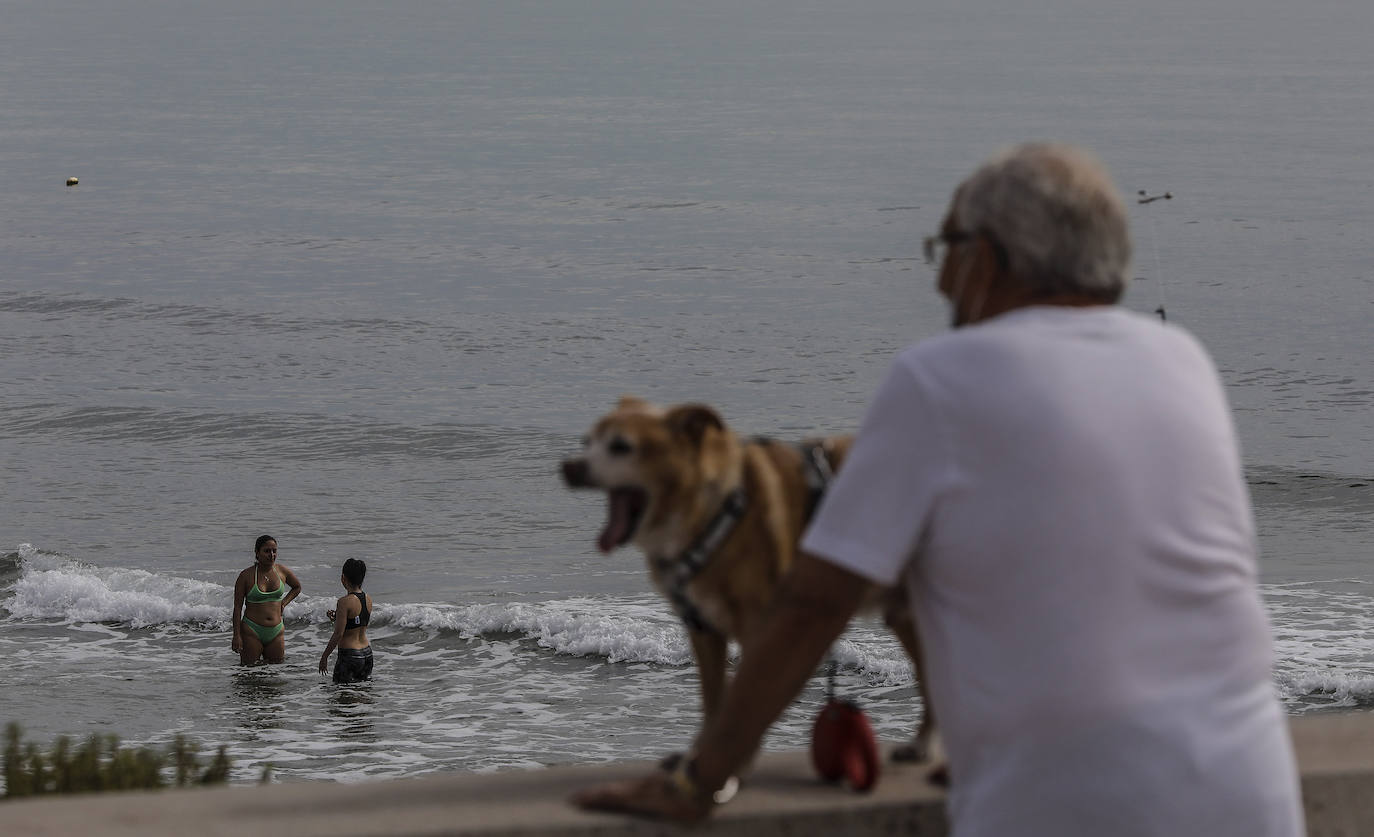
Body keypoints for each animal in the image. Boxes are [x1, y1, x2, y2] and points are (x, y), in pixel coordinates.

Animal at [557, 398, 934, 764]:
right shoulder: (704, 629)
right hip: (904, 612)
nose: (569, 467)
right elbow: (714, 703)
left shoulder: (762, 629)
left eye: (621, 446)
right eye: (587, 441)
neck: (709, 513)